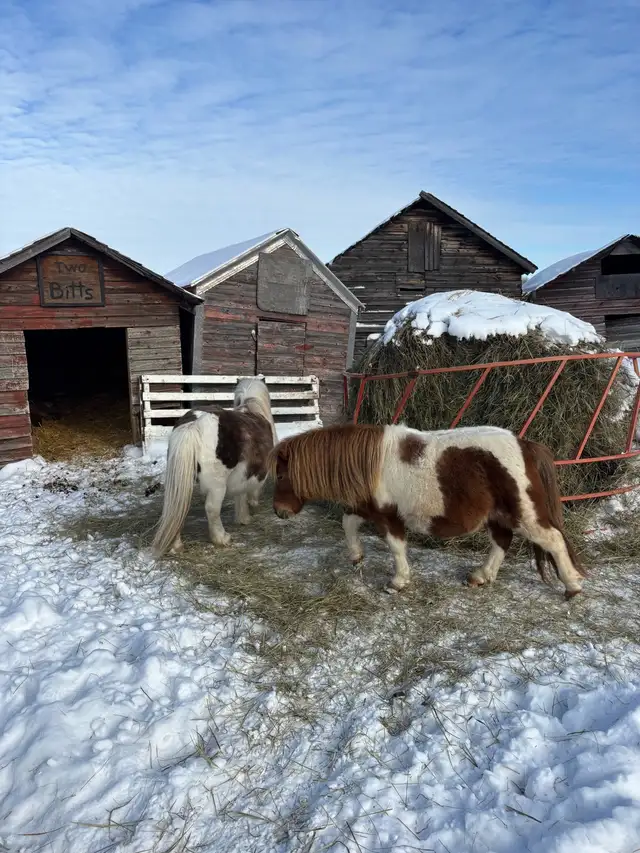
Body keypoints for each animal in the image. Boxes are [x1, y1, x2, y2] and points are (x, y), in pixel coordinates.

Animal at [152, 377, 277, 556]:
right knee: (212, 510)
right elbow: (249, 492)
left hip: (181, 483)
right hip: (217, 486)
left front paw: (243, 517)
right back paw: (221, 538)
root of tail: (194, 424)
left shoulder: (241, 474)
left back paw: (176, 546)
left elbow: (240, 495)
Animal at [270, 423, 584, 599]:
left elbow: (396, 548)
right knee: (501, 542)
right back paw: (481, 576)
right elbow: (348, 523)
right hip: (498, 517)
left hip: (524, 515)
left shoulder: (388, 517)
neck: (371, 462)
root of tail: (525, 445)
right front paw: (357, 557)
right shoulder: (368, 509)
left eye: (282, 475)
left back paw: (572, 586)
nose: (279, 512)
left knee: (553, 540)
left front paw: (398, 582)